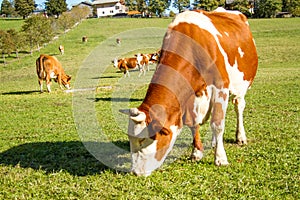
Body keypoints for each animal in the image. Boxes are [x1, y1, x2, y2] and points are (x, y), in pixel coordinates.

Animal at [119, 8, 258, 176]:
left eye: (143, 139)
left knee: (238, 106)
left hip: (241, 84)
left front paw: (220, 158)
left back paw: (240, 137)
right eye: (130, 139)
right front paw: (196, 153)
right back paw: (214, 142)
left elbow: (217, 124)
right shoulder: (191, 95)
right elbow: (193, 123)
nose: (135, 172)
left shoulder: (221, 86)